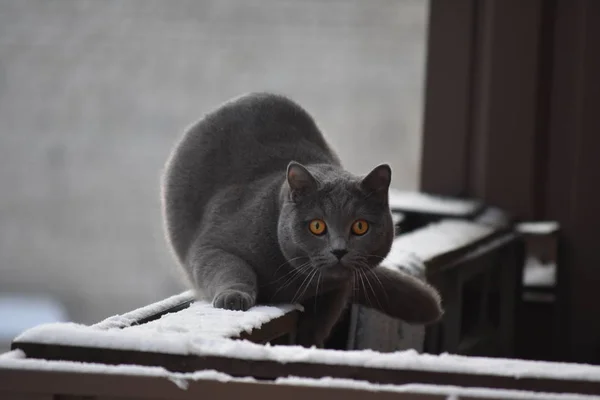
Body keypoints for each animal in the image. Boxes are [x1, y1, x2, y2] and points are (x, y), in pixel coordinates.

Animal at [162, 92, 442, 346]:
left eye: (360, 226)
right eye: (317, 226)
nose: (339, 250)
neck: (294, 280)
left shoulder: (337, 288)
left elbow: (320, 321)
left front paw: (308, 343)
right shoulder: (212, 245)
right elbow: (232, 267)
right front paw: (234, 297)